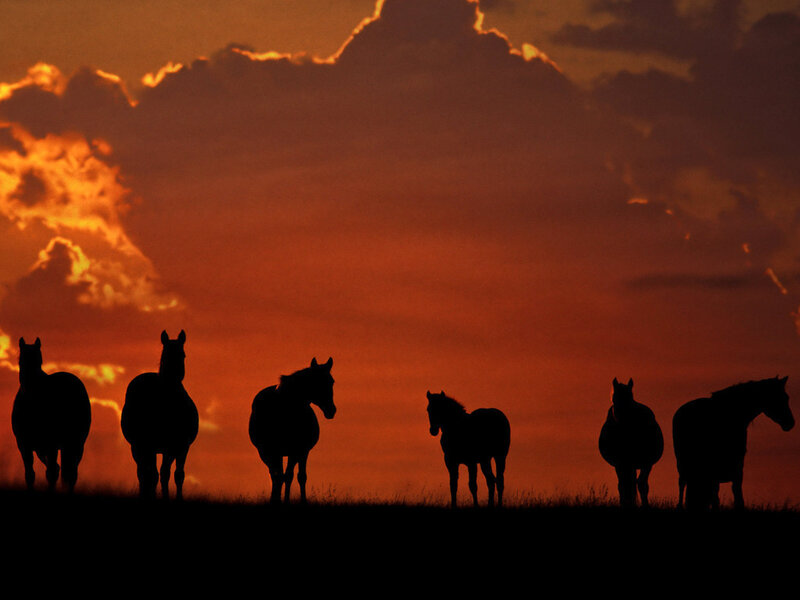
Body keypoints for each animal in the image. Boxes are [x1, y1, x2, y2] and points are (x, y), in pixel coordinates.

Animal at [11, 337, 92, 492]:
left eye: (39, 359)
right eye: (21, 359)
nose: (29, 384)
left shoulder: (51, 444)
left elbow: (51, 473)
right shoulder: (24, 444)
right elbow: (30, 474)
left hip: (75, 444)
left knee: (70, 473)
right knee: (62, 470)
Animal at [121, 330, 199, 500]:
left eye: (183, 355)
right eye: (165, 355)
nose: (173, 377)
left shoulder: (181, 446)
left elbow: (176, 474)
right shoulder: (152, 446)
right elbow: (158, 474)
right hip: (139, 447)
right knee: (144, 473)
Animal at [249, 357, 336, 505]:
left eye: (331, 381)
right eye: (316, 381)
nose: (331, 410)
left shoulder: (301, 450)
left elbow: (299, 476)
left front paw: (300, 501)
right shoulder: (274, 451)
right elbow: (281, 476)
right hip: (267, 453)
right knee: (276, 476)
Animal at [598, 378, 664, 508]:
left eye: (630, 397)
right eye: (614, 398)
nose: (621, 420)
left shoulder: (647, 463)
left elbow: (642, 485)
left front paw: (645, 505)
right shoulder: (620, 463)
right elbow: (623, 485)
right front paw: (625, 503)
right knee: (628, 483)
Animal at [672, 376, 794, 511]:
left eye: (786, 397)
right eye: (780, 397)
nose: (790, 423)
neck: (732, 416)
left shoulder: (737, 465)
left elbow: (737, 493)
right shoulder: (715, 468)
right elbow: (717, 496)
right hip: (683, 464)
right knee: (682, 484)